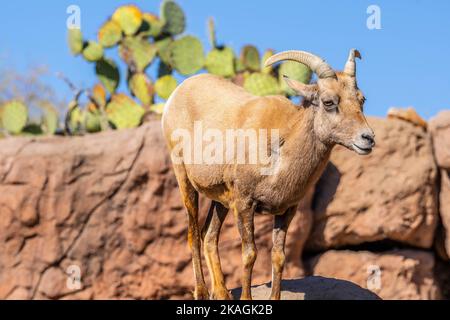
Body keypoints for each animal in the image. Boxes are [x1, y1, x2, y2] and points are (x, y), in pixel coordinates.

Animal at [160, 48, 374, 298]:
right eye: (328, 102)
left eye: (361, 99)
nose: (368, 138)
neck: (281, 149)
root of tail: (179, 91)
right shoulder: (245, 204)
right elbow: (250, 254)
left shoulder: (286, 211)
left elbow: (278, 257)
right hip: (184, 180)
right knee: (194, 235)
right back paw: (201, 292)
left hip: (221, 200)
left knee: (209, 236)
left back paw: (222, 293)